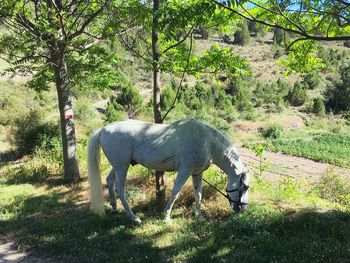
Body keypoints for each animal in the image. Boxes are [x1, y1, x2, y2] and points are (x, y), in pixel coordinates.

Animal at [87, 119, 249, 225]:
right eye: (245, 187)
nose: (242, 209)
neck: (206, 141)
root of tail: (104, 129)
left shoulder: (197, 173)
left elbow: (198, 194)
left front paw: (199, 216)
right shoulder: (184, 171)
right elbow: (175, 193)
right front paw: (166, 217)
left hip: (118, 166)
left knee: (109, 181)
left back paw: (114, 208)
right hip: (122, 167)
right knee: (120, 189)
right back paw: (134, 218)